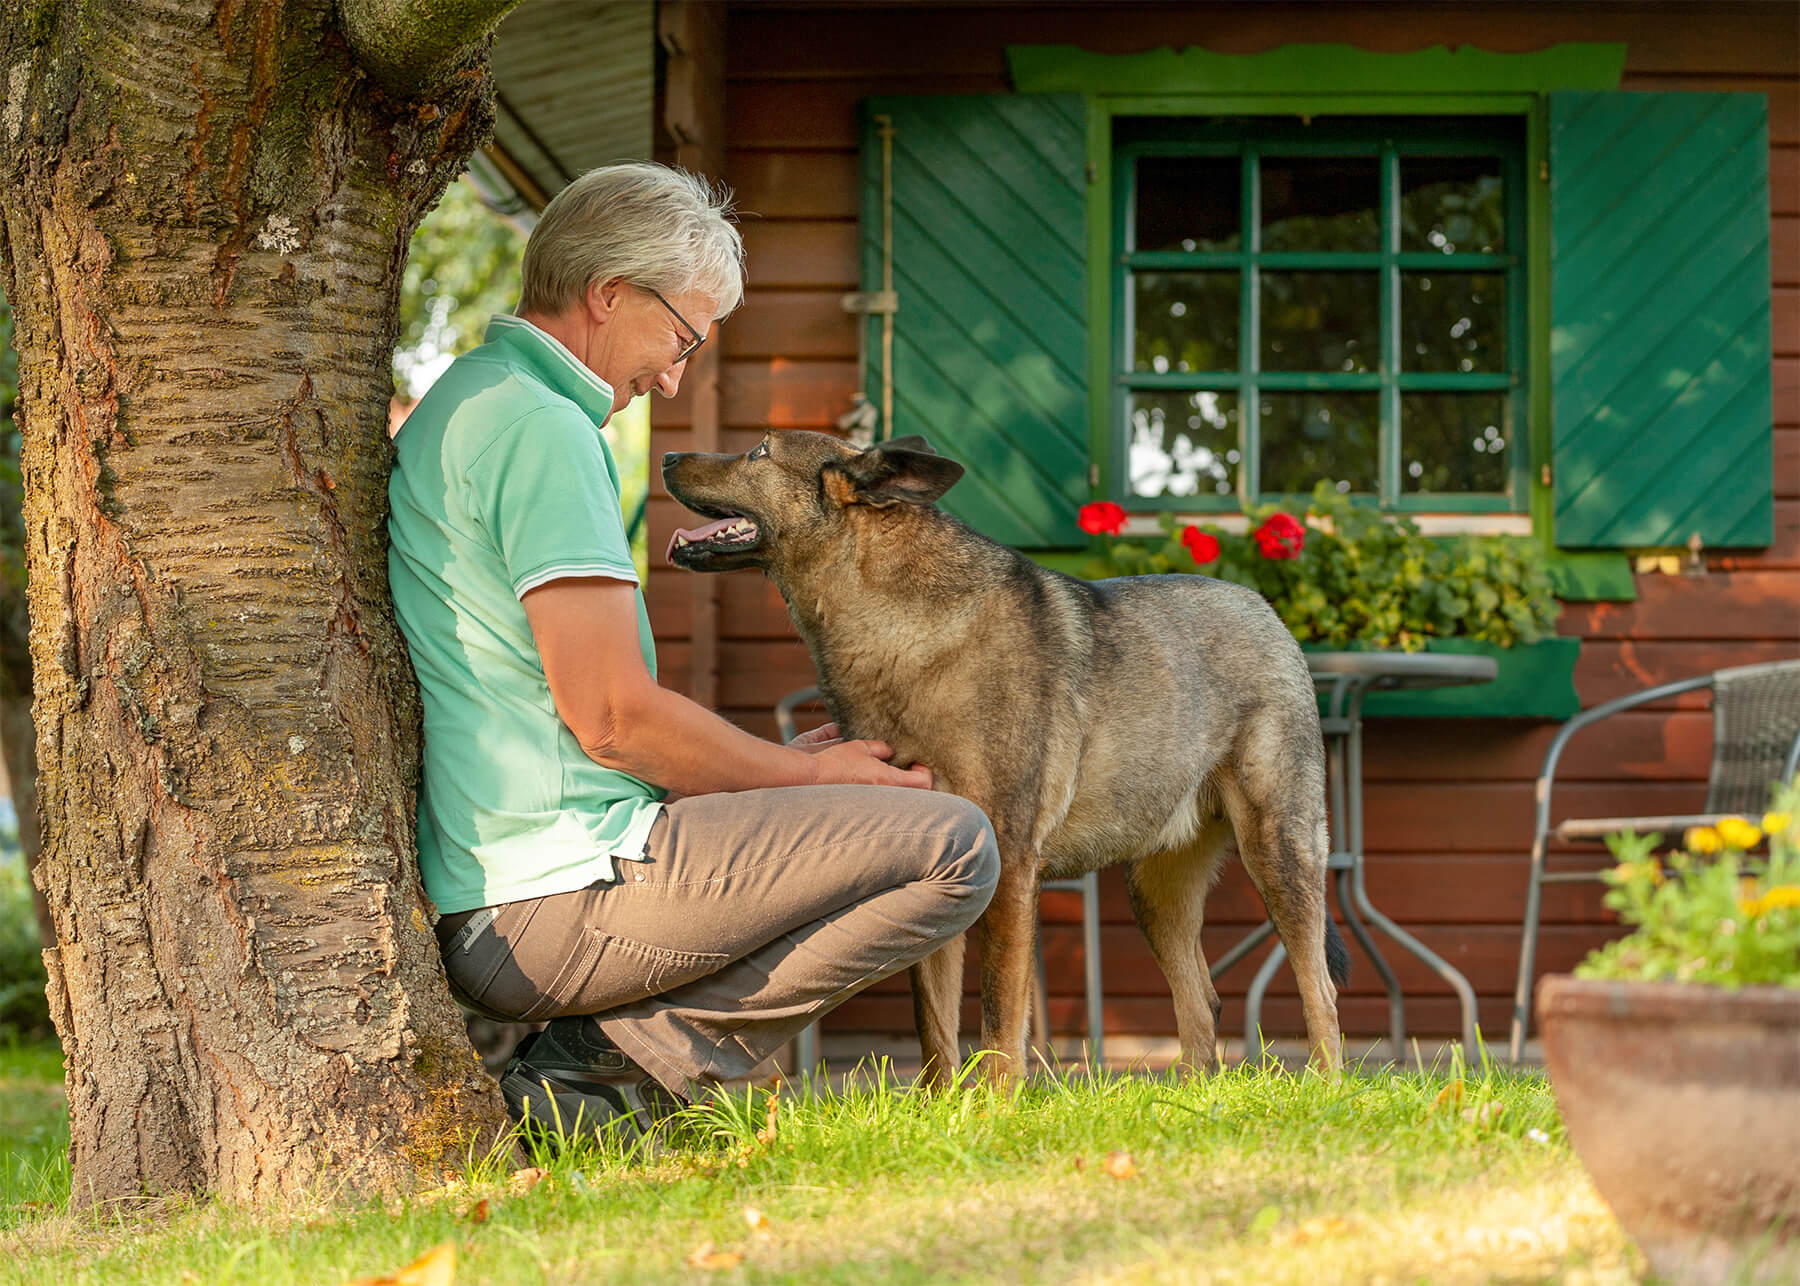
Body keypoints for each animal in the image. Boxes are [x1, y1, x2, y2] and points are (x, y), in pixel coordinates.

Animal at [669, 434, 1346, 1080]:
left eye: (759, 450)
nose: (670, 454)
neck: (889, 616)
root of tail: (1266, 611)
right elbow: (935, 1027)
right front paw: (940, 1109)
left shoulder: (1012, 868)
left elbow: (999, 1020)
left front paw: (995, 1103)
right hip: (1157, 889)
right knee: (1200, 1001)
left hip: (1278, 853)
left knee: (1321, 993)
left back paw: (1325, 1085)